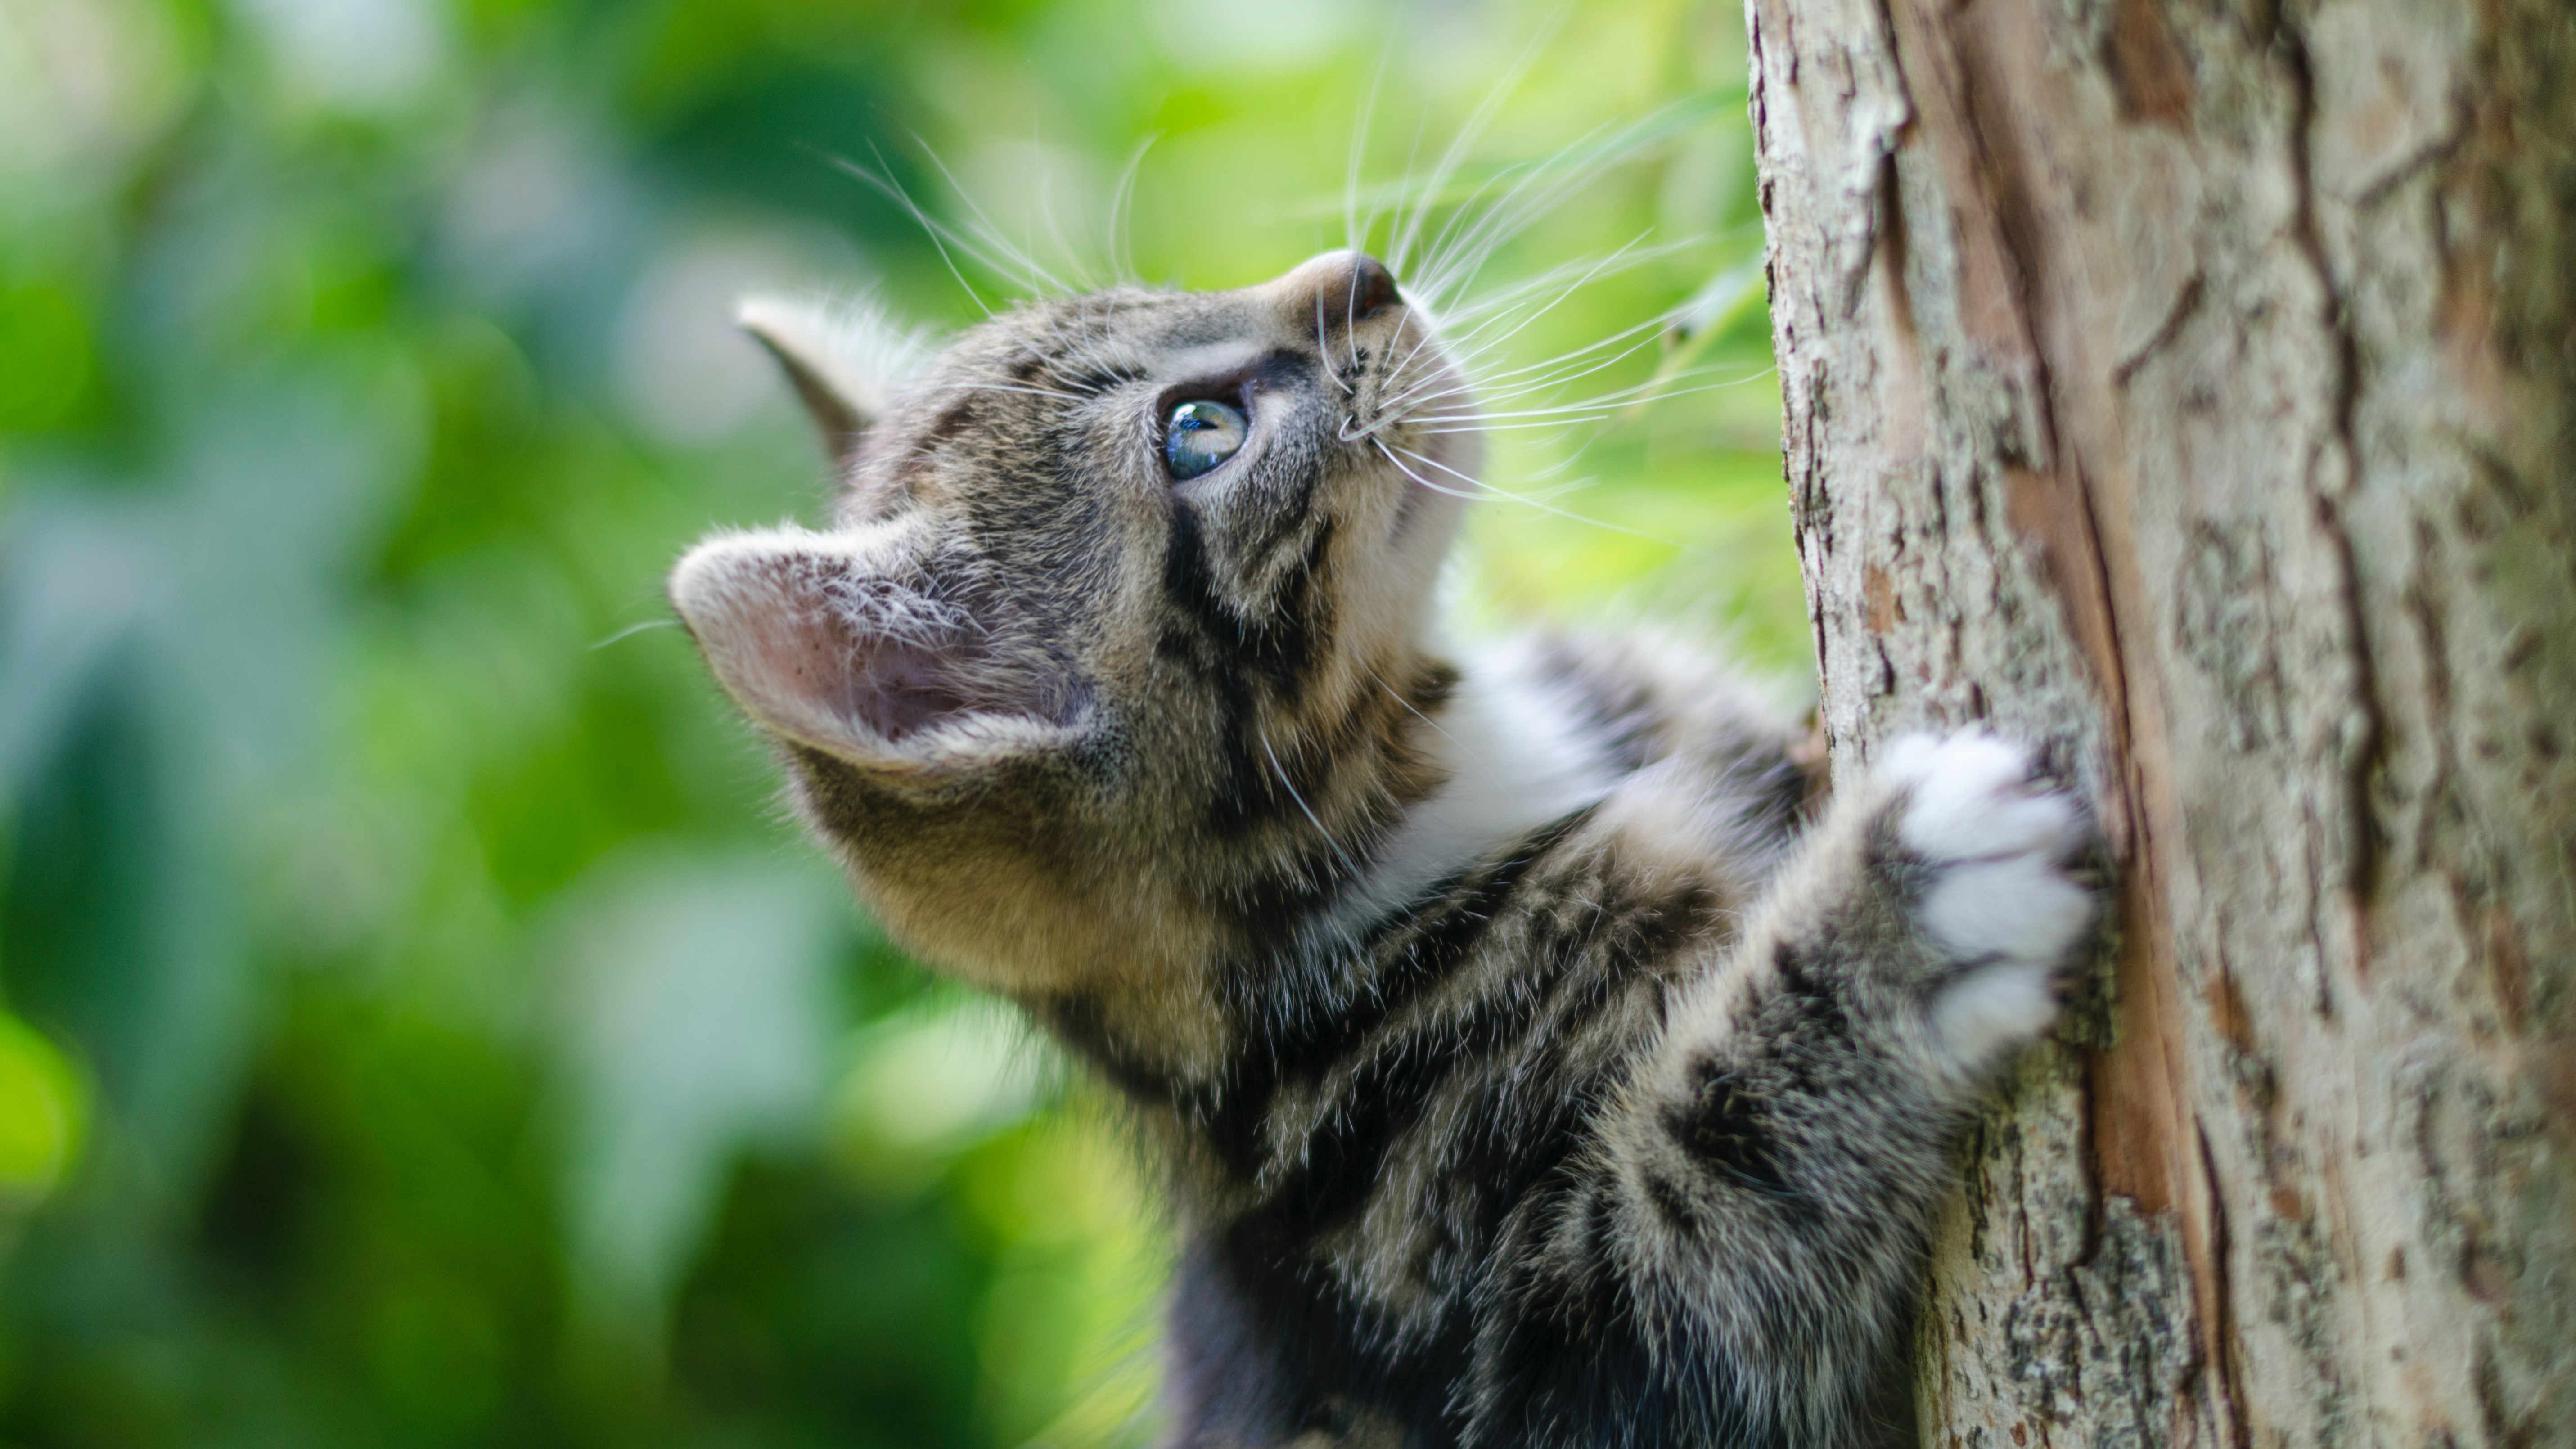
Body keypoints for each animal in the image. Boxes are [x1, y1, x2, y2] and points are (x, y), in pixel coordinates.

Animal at [675, 249, 2102, 1449]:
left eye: (1164, 287)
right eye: (1199, 432)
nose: (1359, 274)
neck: (1461, 770)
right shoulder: (1520, 1349)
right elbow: (1709, 1214)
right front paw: (1902, 910)